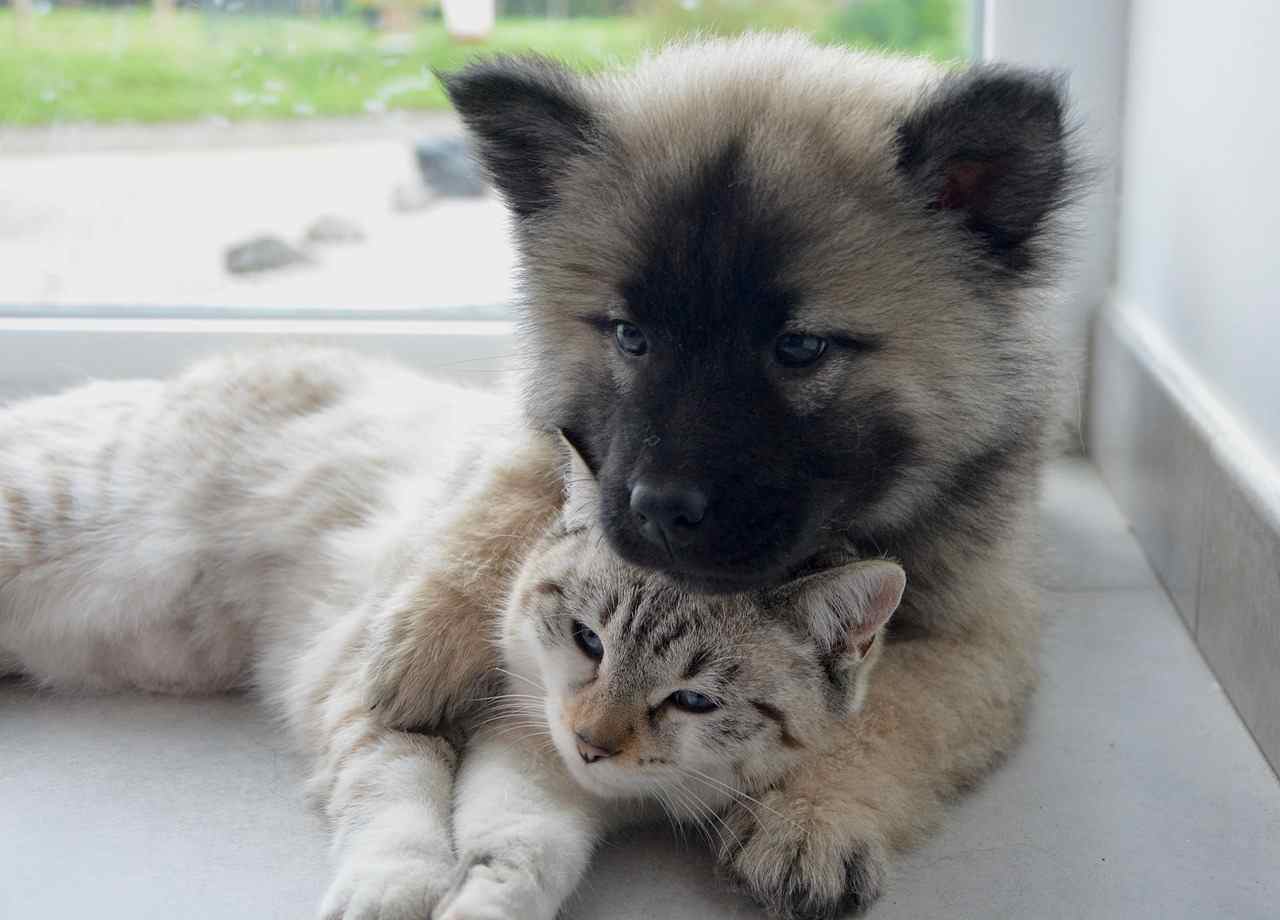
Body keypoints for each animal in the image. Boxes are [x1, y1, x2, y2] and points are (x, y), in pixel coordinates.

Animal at [0, 348, 901, 916]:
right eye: (588, 641)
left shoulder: (545, 778)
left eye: (693, 701)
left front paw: (479, 903)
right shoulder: (380, 702)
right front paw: (391, 899)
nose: (592, 743)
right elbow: (400, 801)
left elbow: (519, 855)